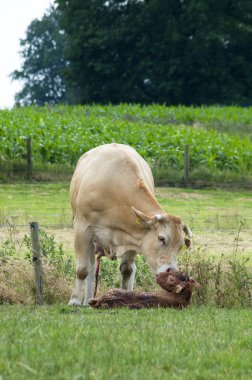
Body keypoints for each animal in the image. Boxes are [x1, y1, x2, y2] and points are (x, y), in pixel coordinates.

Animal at [68, 143, 191, 306]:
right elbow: (82, 270)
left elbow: (127, 270)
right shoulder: (82, 229)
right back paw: (87, 300)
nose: (171, 271)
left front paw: (126, 296)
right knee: (91, 267)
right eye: (161, 238)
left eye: (180, 246)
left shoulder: (134, 236)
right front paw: (74, 300)